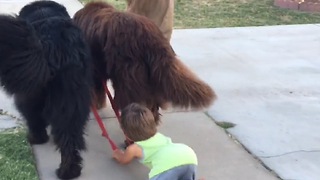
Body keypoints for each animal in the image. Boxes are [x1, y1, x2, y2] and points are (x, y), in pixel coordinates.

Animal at [0, 1, 92, 179]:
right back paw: (69, 171)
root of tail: (53, 44)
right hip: (71, 99)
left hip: (32, 94)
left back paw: (38, 138)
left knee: (33, 115)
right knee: (70, 137)